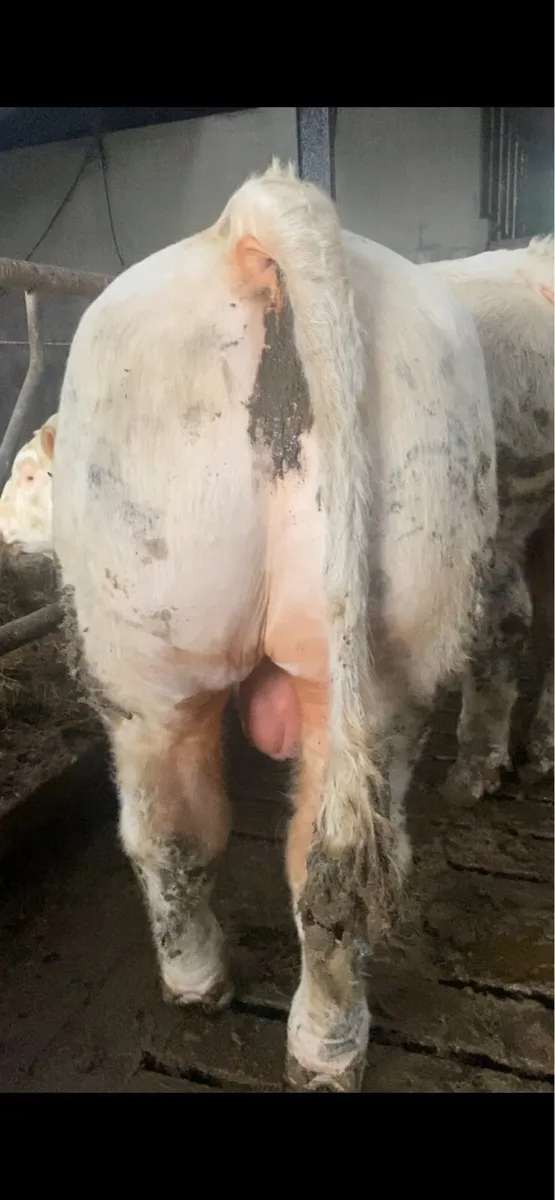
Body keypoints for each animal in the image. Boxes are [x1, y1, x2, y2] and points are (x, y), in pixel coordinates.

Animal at [52, 161, 497, 1092]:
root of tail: (247, 224)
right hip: (365, 659)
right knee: (313, 863)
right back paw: (322, 1050)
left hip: (144, 658)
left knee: (176, 836)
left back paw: (204, 987)